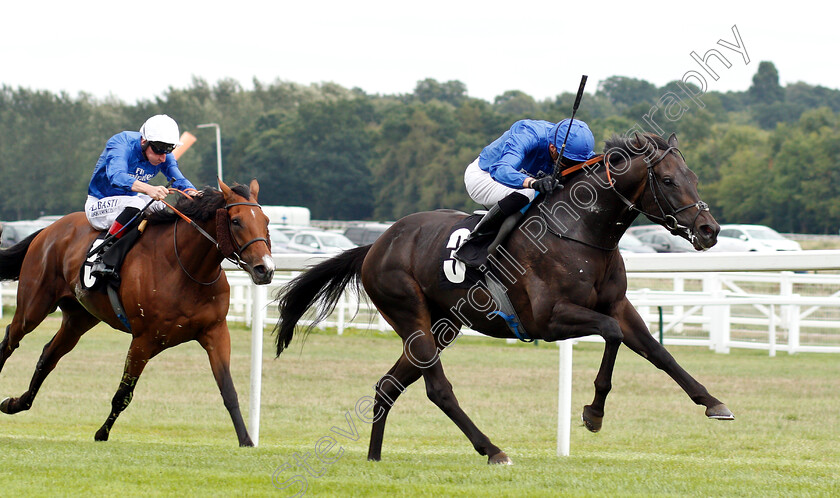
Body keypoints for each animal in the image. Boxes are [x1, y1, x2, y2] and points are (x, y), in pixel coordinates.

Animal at [0, 180, 274, 448]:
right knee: (11, 339)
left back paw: (16, 403)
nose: (265, 269)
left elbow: (228, 389)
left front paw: (246, 440)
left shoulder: (215, 332)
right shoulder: (144, 340)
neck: (186, 269)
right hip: (33, 307)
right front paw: (102, 433)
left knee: (48, 356)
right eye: (236, 221)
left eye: (266, 220)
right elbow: (123, 394)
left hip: (79, 319)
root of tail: (49, 229)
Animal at [278, 132, 736, 462]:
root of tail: (376, 244)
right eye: (669, 180)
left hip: (443, 324)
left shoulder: (618, 305)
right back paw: (492, 449)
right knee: (437, 389)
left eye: (694, 177)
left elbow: (658, 352)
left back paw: (374, 457)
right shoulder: (549, 319)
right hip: (410, 313)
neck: (580, 232)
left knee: (389, 385)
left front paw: (713, 402)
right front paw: (593, 413)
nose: (710, 230)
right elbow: (611, 334)